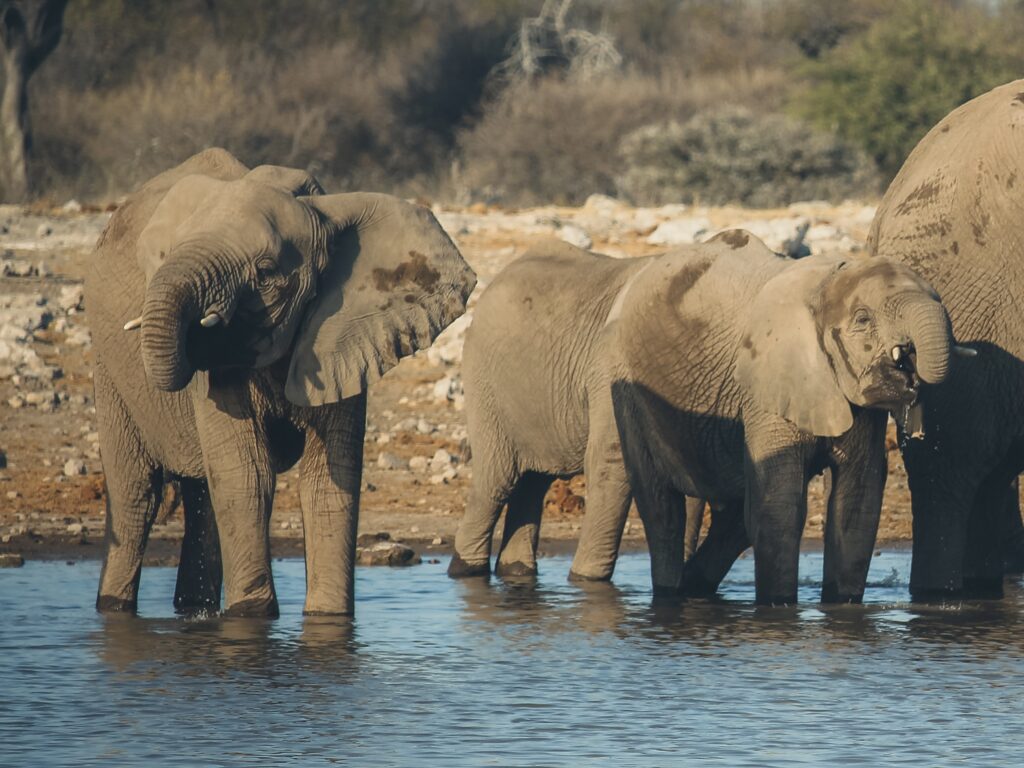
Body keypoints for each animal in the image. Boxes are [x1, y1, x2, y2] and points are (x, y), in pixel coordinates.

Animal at [87, 148, 476, 617]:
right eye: (167, 254)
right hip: (107, 368)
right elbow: (249, 476)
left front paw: (327, 619)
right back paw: (115, 607)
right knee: (135, 496)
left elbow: (329, 480)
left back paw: (192, 609)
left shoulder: (342, 337)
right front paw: (251, 618)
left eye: (266, 271)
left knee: (201, 498)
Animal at [448, 232, 962, 604]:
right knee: (634, 495)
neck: (822, 283)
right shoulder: (764, 384)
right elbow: (779, 506)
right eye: (862, 320)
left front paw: (841, 609)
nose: (909, 365)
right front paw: (779, 610)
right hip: (592, 377)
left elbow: (856, 504)